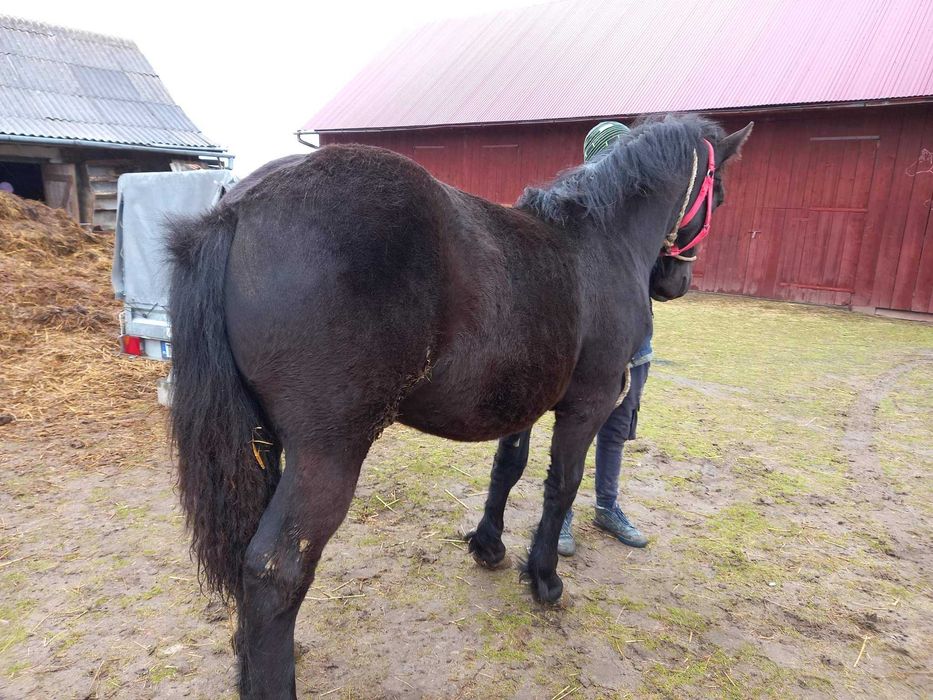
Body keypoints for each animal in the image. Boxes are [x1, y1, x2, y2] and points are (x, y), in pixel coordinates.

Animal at [167, 113, 748, 696]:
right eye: (718, 192)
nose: (675, 282)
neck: (598, 241)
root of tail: (238, 209)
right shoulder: (589, 403)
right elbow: (562, 484)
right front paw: (544, 578)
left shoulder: (523, 400)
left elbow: (508, 468)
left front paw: (489, 546)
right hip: (327, 454)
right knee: (274, 570)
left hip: (261, 445)